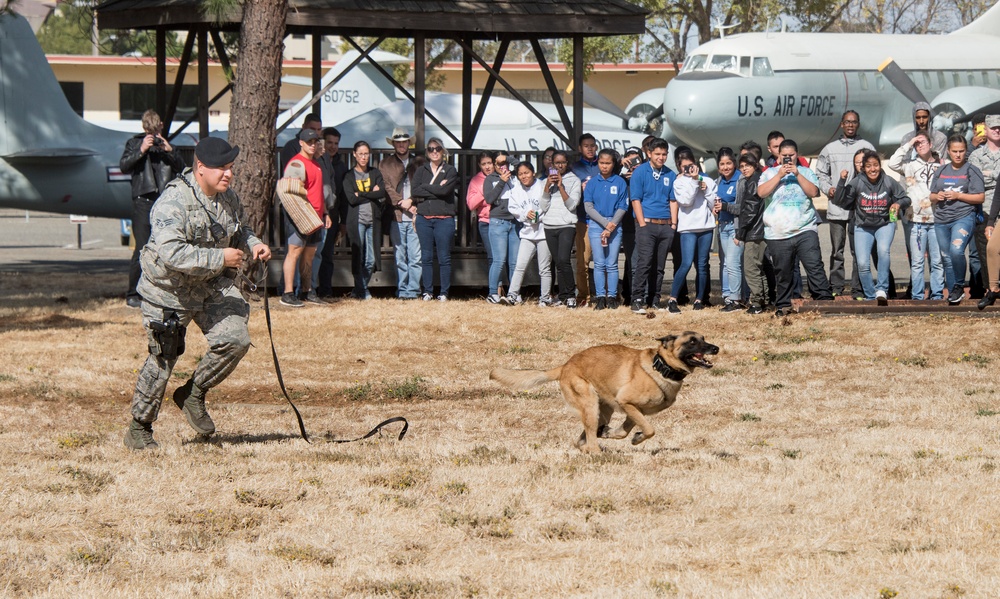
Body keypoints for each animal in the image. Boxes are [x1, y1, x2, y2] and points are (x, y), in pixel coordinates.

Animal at [486, 330, 716, 452]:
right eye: (692, 341)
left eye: (704, 338)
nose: (716, 348)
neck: (661, 367)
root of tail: (565, 366)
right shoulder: (627, 403)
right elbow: (650, 429)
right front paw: (637, 437)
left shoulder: (633, 411)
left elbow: (624, 432)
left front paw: (624, 435)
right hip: (589, 405)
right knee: (588, 435)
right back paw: (597, 452)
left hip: (603, 410)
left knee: (582, 439)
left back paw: (594, 443)